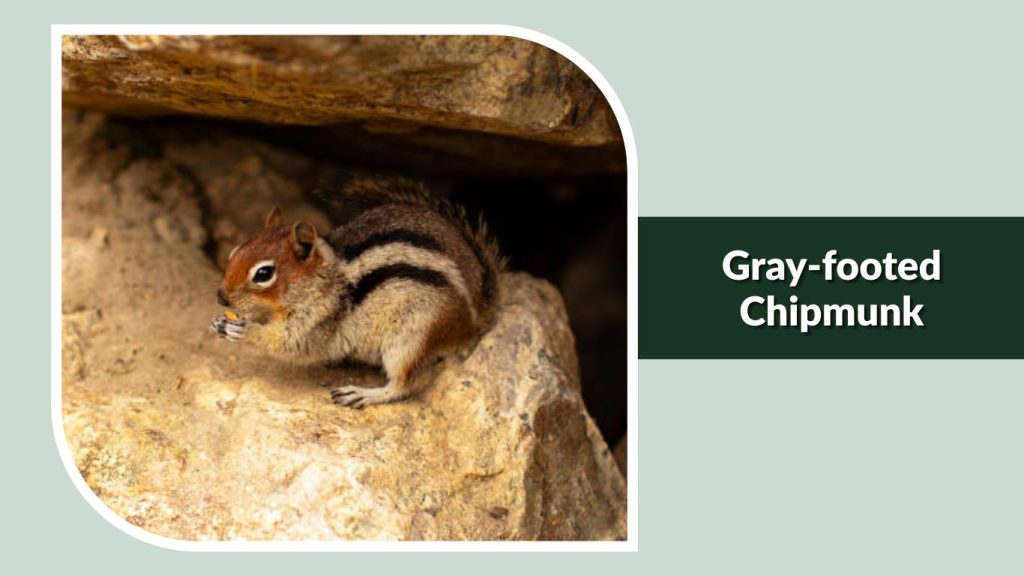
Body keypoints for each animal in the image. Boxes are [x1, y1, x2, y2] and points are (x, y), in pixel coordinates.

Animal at [210, 177, 506, 408]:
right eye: (234, 252)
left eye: (263, 274)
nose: (221, 297)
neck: (326, 279)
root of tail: (476, 315)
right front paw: (219, 323)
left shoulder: (316, 321)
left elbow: (288, 344)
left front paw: (242, 329)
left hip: (411, 337)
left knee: (404, 385)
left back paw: (362, 394)